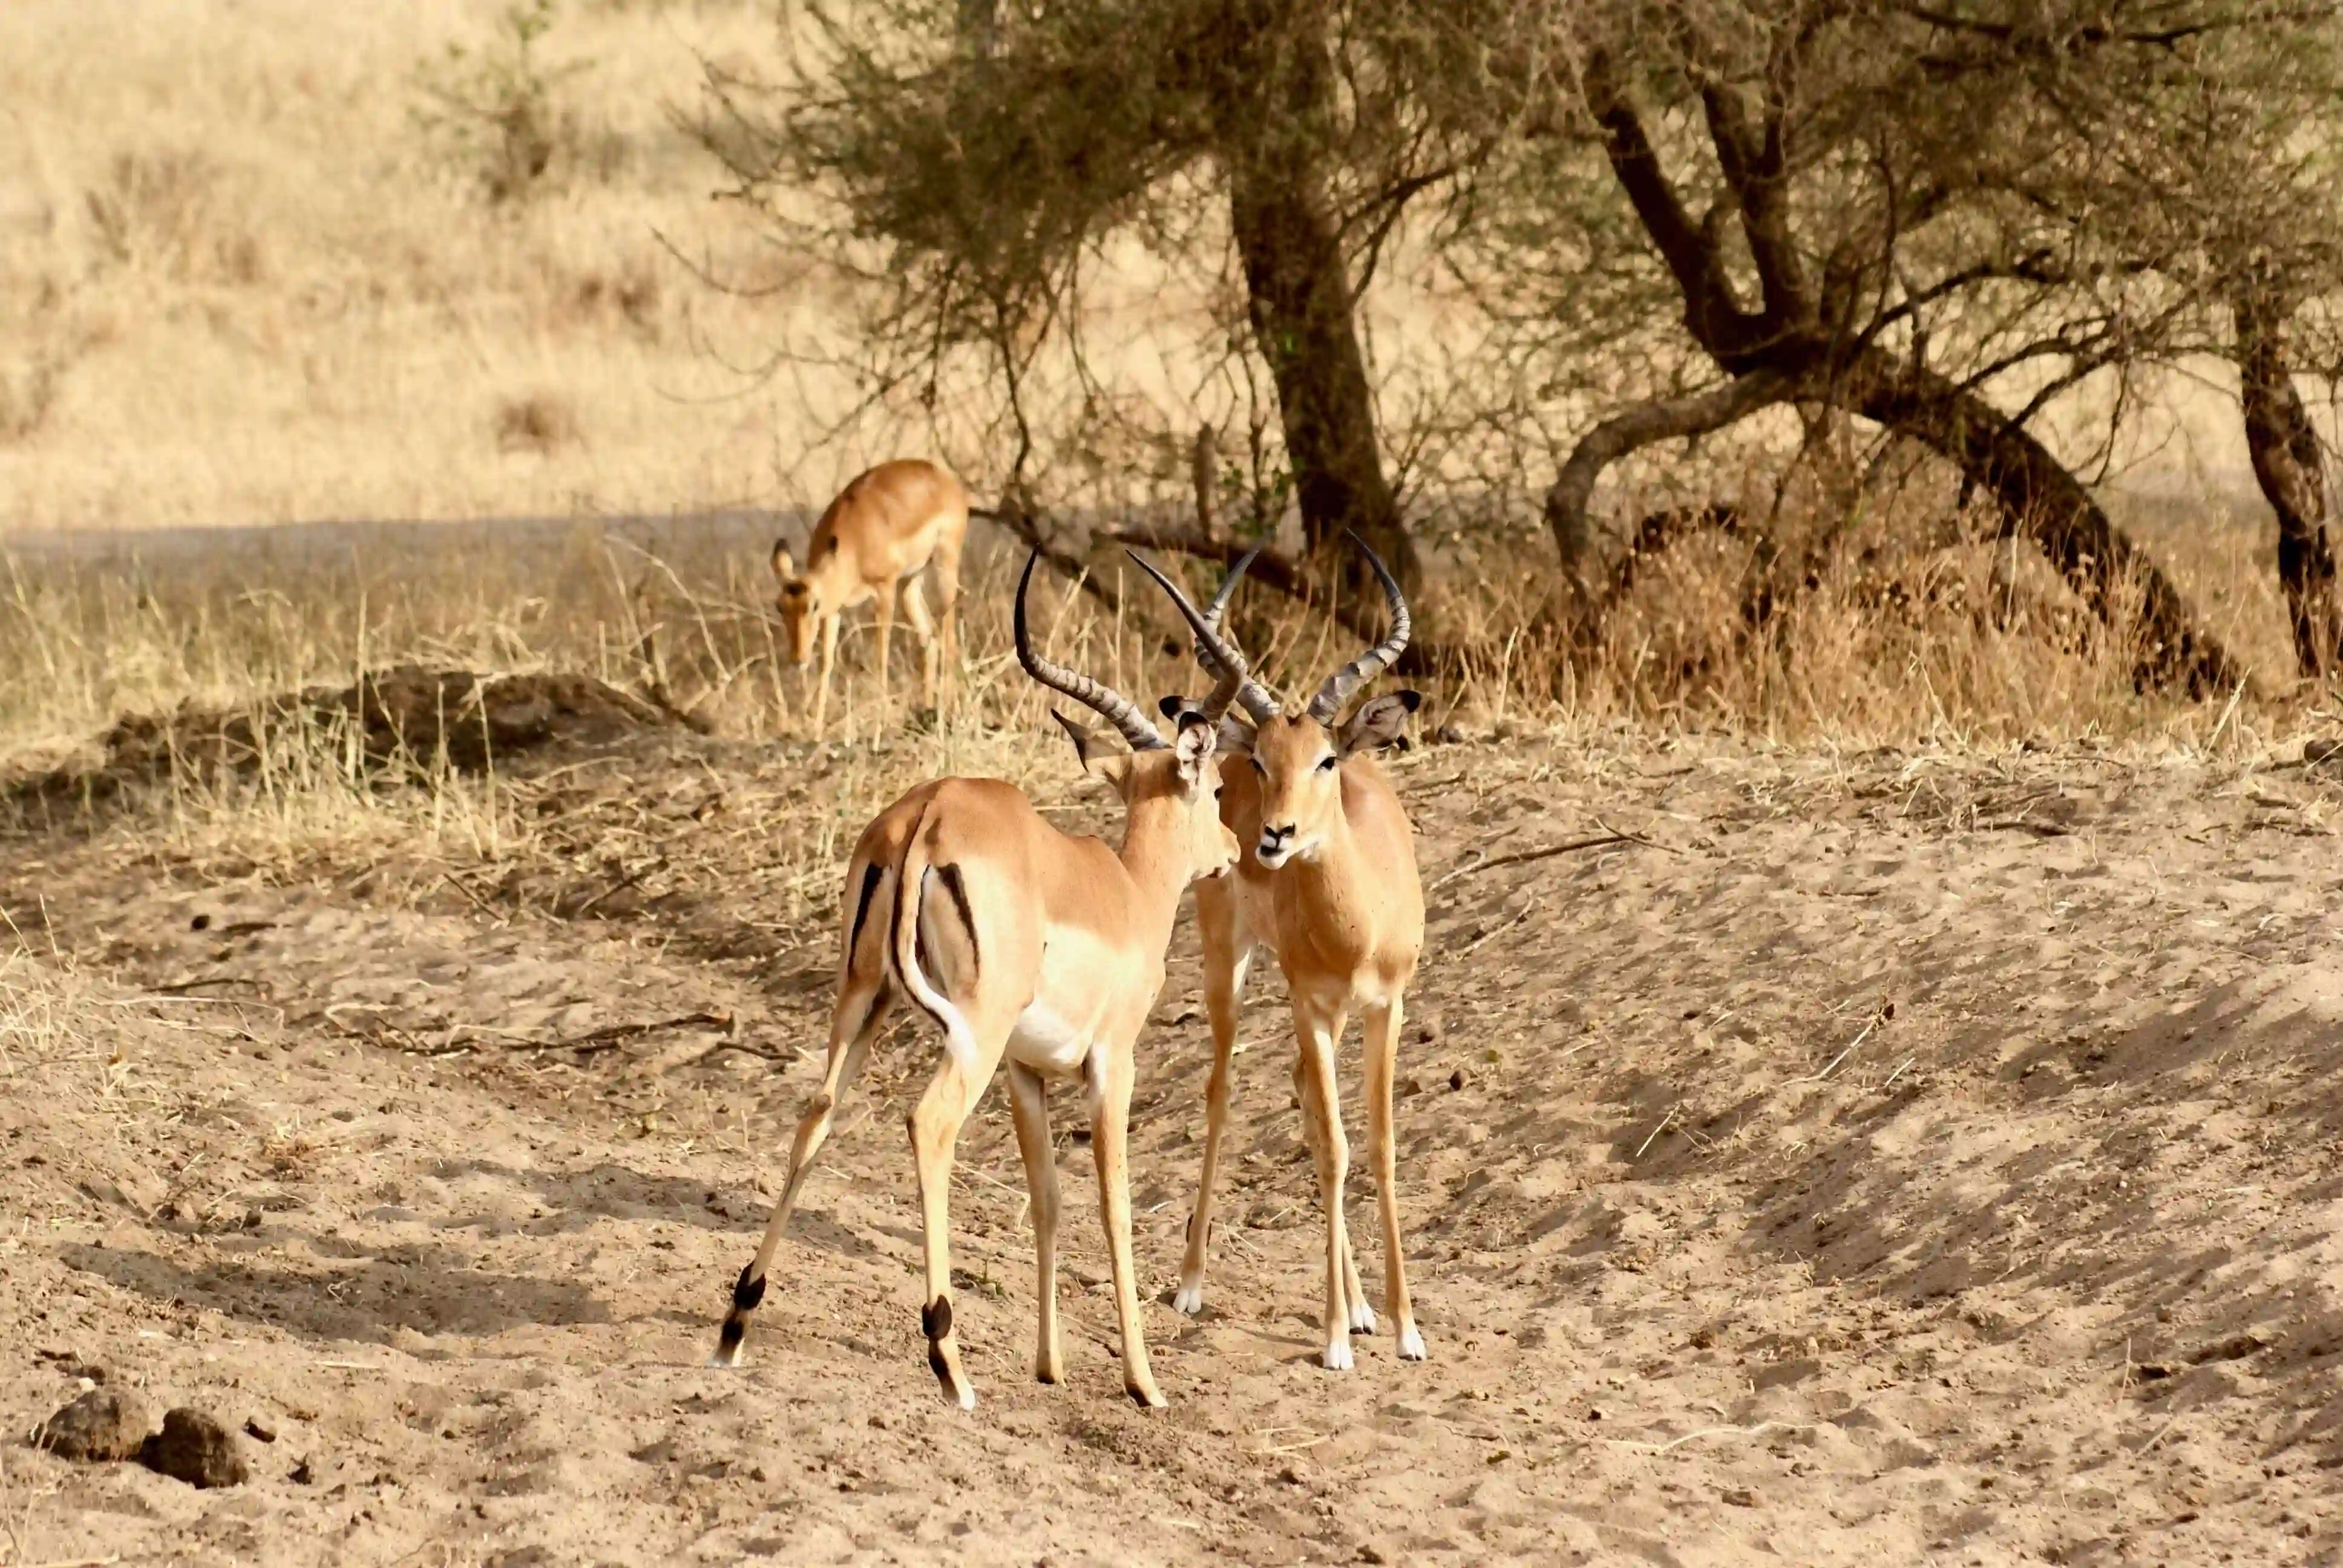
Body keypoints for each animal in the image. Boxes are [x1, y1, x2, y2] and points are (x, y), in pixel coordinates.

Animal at [711, 549, 1250, 1409]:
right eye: (1214, 789)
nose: (1233, 849)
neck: (1126, 889)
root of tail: (927, 815)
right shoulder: (1112, 1065)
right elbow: (1114, 1207)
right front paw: (1142, 1382)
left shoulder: (1026, 1073)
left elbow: (1047, 1200)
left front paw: (1049, 1366)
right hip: (972, 1033)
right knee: (927, 1125)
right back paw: (948, 1362)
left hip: (862, 1003)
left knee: (815, 1114)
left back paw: (737, 1324)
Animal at [771, 459, 968, 733]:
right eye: (780, 607)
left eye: (813, 605)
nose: (798, 658)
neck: (855, 542)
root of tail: (944, 477)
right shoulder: (834, 610)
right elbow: (826, 663)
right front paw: (817, 728)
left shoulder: (884, 589)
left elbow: (880, 654)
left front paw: (882, 719)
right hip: (911, 582)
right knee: (930, 636)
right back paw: (928, 710)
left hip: (944, 565)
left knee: (948, 634)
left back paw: (949, 712)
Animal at [1156, 536, 1428, 1372]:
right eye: (1267, 760)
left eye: (1325, 760)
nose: (1273, 836)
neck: (1357, 928)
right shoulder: (1310, 1004)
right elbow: (1336, 1149)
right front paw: (1334, 1337)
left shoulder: (1384, 1008)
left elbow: (1377, 1145)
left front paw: (1404, 1327)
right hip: (1230, 965)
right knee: (1221, 1095)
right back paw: (1190, 1284)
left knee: (1307, 1104)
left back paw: (1365, 1307)